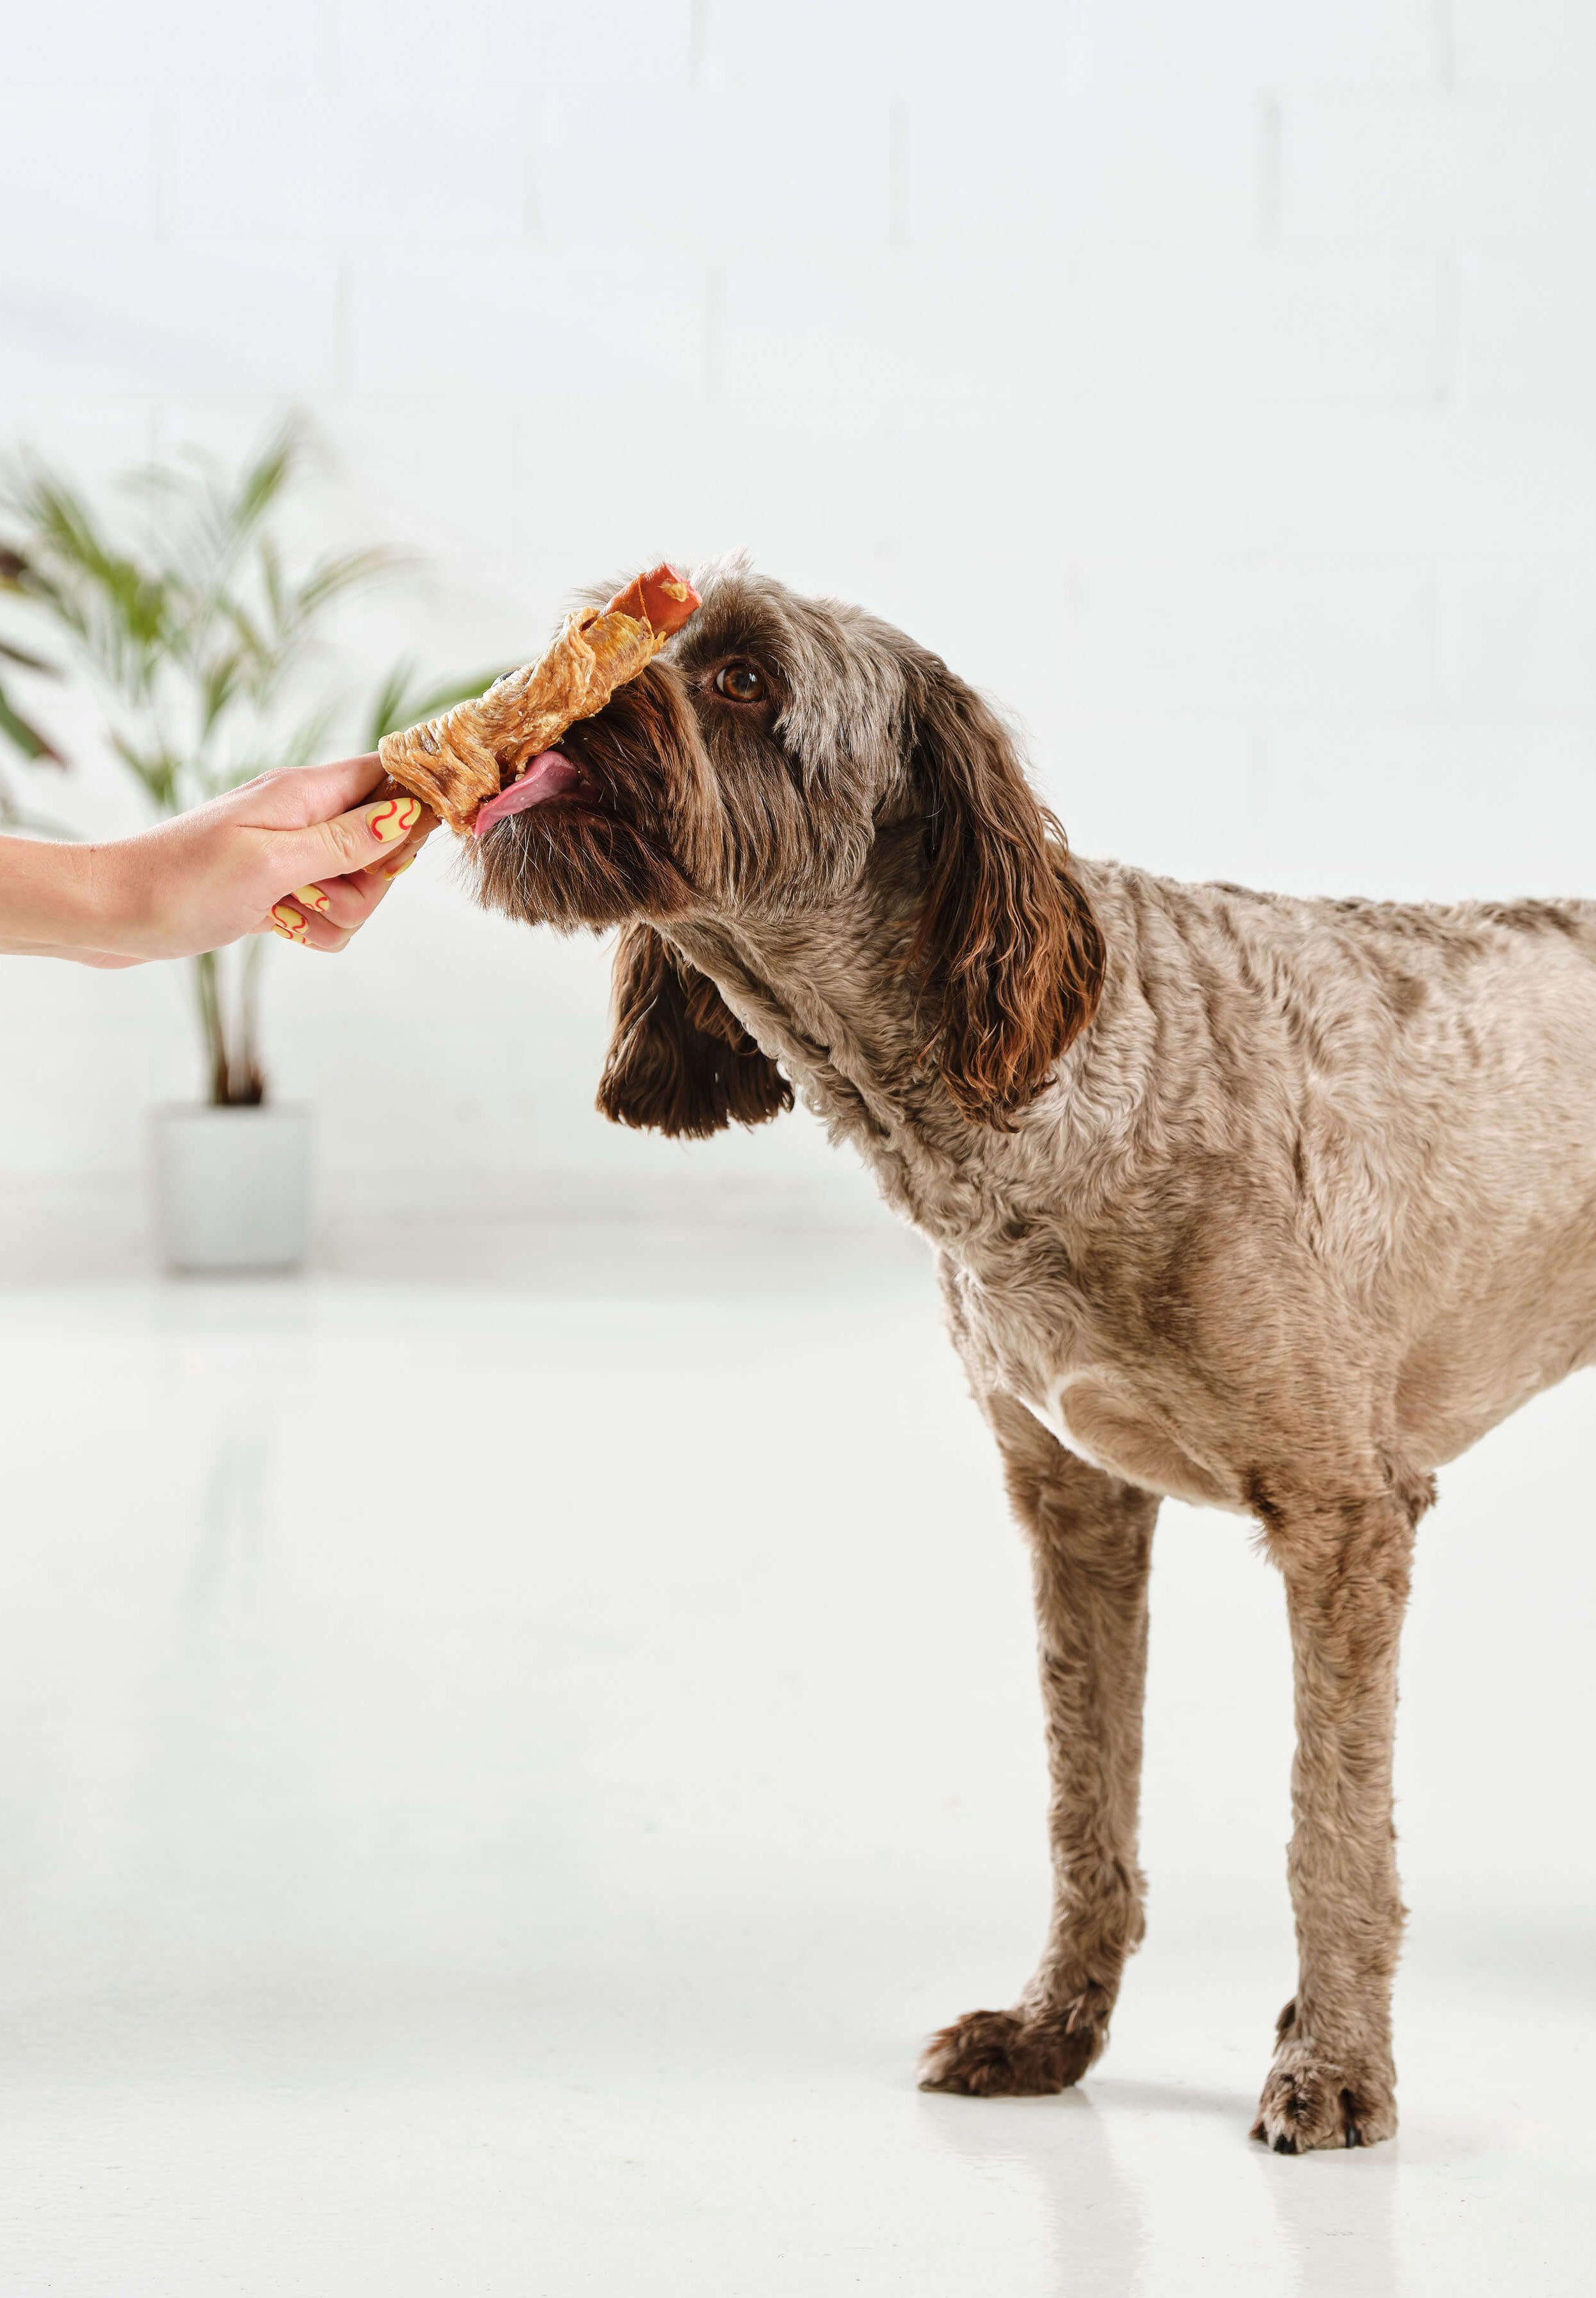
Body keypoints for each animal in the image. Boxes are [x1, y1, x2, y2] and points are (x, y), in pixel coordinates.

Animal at [480, 560, 1596, 2151]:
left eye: (745, 677)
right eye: (603, 622)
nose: (544, 700)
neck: (1081, 1071)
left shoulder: (1343, 1526)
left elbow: (1328, 1829)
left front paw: (1335, 2068)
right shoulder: (1073, 1504)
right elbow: (1086, 1806)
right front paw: (1055, 2032)